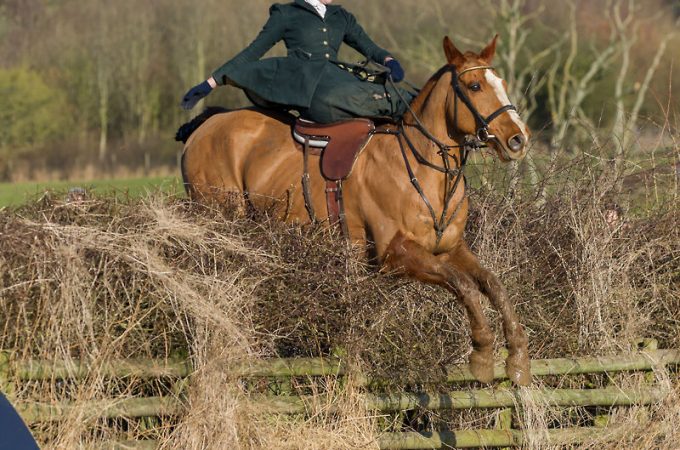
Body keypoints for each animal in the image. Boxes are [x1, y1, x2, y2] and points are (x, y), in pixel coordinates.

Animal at [178, 36, 532, 386]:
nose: (518, 139)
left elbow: (492, 284)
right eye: (474, 86)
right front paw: (483, 353)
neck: (426, 168)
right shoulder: (395, 255)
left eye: (501, 83)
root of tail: (207, 125)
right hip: (223, 221)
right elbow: (464, 285)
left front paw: (517, 357)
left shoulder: (449, 249)